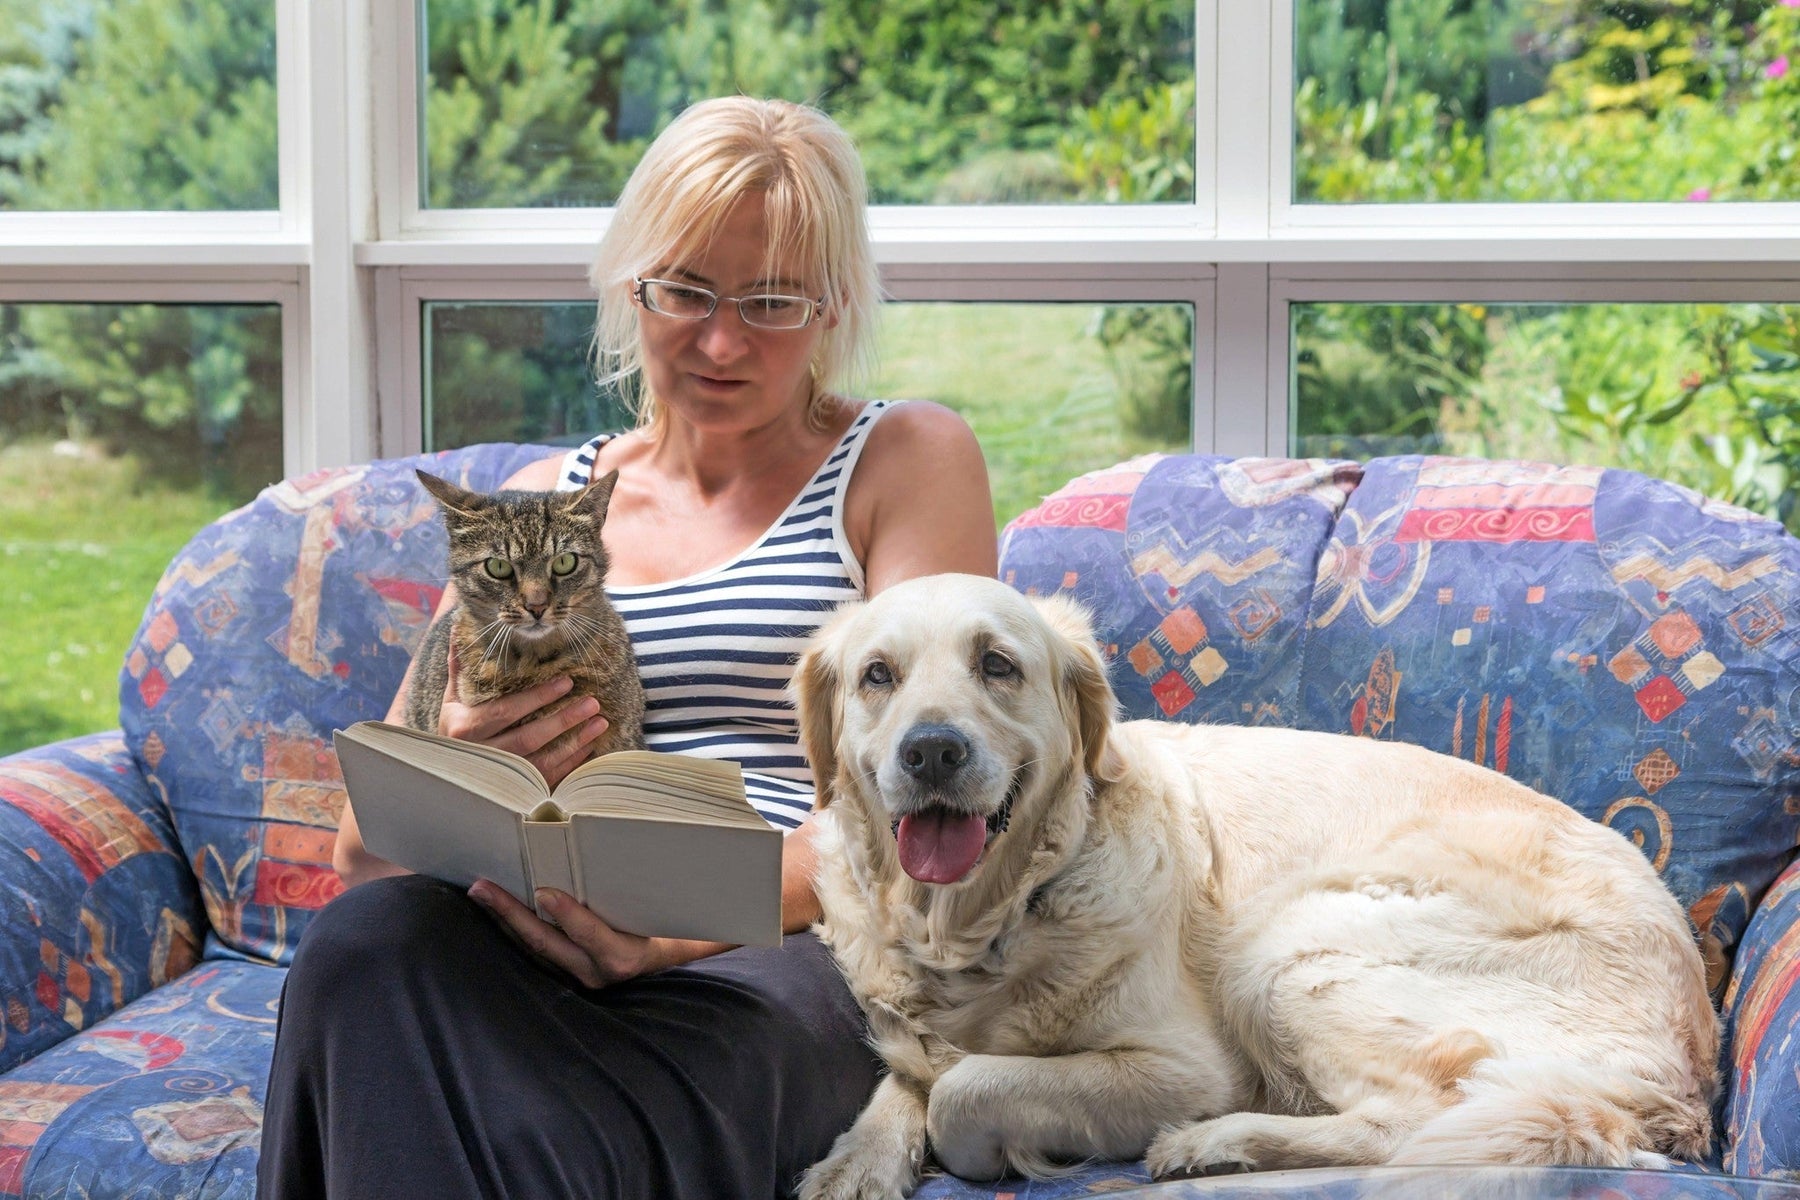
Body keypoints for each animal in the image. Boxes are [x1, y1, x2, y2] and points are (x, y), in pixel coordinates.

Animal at [795, 575, 1720, 1200]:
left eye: (997, 665)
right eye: (877, 675)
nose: (932, 751)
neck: (982, 919)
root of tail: (1687, 1075)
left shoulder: (1185, 1068)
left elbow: (962, 1087)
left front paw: (995, 1147)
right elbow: (911, 1069)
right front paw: (859, 1160)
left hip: (1289, 950)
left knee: (1409, 1123)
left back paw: (1216, 1147)